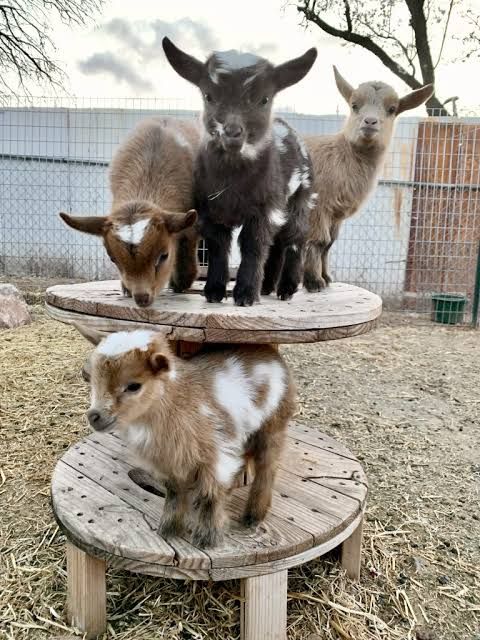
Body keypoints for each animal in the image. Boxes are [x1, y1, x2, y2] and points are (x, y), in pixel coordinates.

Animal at [59, 117, 200, 307]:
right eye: (113, 259)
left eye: (164, 256)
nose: (142, 298)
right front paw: (126, 288)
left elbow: (187, 240)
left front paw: (181, 282)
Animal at [77, 326, 296, 549]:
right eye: (90, 378)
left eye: (134, 386)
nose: (94, 417)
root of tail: (270, 353)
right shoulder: (171, 460)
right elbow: (174, 492)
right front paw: (169, 529)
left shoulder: (217, 454)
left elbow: (211, 495)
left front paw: (207, 538)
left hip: (274, 424)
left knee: (267, 468)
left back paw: (254, 515)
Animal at [162, 38, 317, 306]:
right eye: (208, 95)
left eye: (264, 99)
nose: (232, 132)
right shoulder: (208, 210)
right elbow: (218, 245)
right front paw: (214, 291)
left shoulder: (264, 209)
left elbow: (253, 245)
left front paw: (245, 295)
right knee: (276, 244)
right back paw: (267, 287)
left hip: (301, 198)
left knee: (295, 239)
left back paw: (286, 289)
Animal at [303, 67, 433, 292]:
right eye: (354, 106)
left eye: (392, 109)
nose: (370, 122)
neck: (339, 155)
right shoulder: (318, 206)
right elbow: (319, 240)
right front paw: (314, 281)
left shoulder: (336, 214)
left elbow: (329, 244)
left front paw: (327, 277)